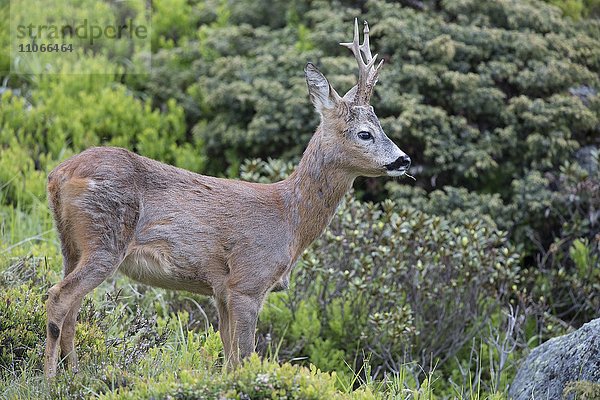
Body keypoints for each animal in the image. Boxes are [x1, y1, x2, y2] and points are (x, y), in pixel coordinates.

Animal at [42, 18, 408, 378]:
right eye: (365, 133)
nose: (403, 160)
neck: (289, 218)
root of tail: (58, 175)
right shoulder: (247, 281)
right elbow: (245, 357)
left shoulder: (221, 291)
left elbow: (229, 359)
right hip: (105, 239)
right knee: (59, 297)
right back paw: (49, 381)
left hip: (71, 245)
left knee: (72, 307)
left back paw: (74, 376)